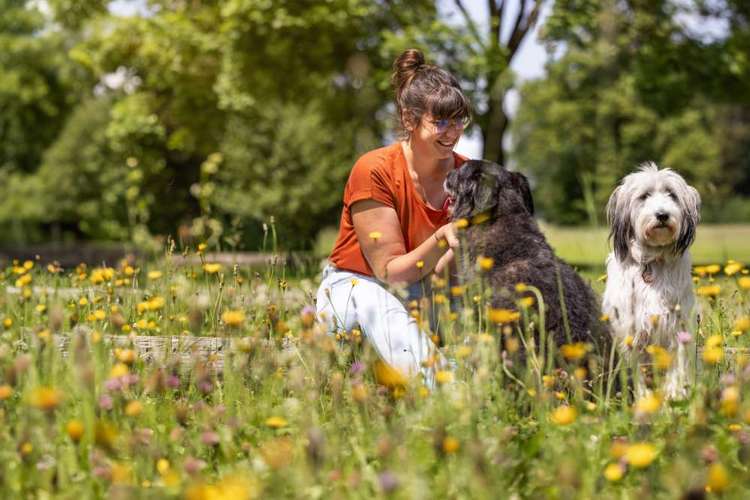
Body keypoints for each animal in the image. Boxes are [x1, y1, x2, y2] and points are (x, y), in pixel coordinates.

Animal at [604, 164, 704, 398]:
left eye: (671, 195)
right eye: (644, 196)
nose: (662, 215)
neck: (653, 262)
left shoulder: (677, 328)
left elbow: (676, 368)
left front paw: (675, 397)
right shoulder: (632, 332)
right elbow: (638, 372)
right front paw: (645, 399)